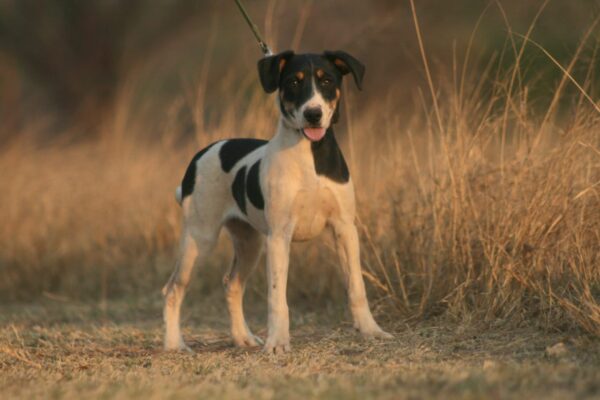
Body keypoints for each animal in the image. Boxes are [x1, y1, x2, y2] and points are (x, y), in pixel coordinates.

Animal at [162, 50, 392, 354]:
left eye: (327, 80)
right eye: (294, 82)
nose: (313, 114)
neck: (310, 153)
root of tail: (202, 153)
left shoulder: (344, 229)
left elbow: (356, 287)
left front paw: (371, 331)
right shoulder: (280, 237)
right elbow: (277, 298)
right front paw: (278, 343)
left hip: (249, 243)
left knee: (232, 285)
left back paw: (243, 338)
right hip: (200, 240)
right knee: (173, 289)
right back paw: (174, 344)